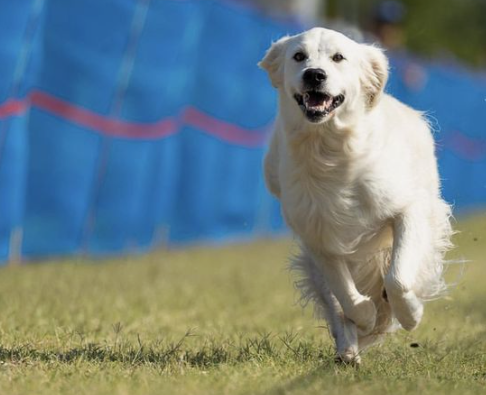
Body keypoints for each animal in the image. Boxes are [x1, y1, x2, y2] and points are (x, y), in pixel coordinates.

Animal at [260, 27, 454, 366]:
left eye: (339, 57)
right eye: (298, 56)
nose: (314, 74)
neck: (329, 151)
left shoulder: (409, 210)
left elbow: (398, 278)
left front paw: (411, 313)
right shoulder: (317, 234)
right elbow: (344, 294)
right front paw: (365, 315)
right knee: (335, 304)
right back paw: (348, 350)